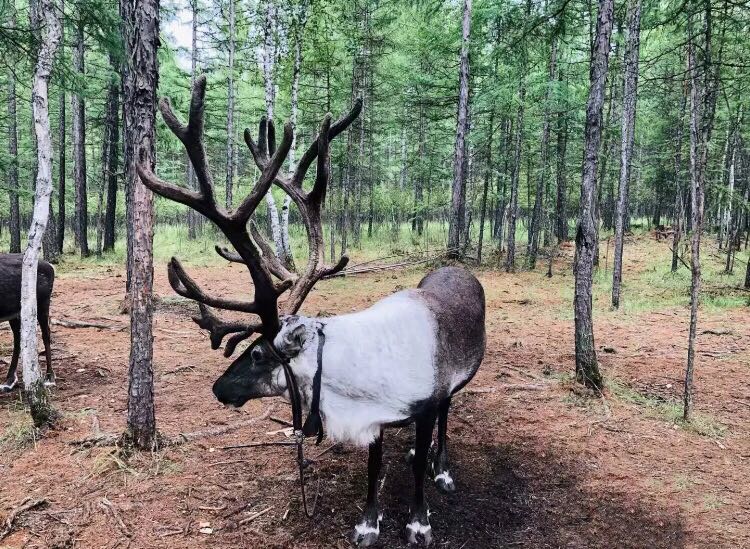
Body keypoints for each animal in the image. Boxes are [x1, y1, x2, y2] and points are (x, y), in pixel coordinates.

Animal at [0, 253, 55, 392]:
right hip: (16, 312)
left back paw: (49, 377)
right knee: (18, 337)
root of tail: (51, 267)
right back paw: (10, 380)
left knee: (46, 334)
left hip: (42, 303)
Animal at [137, 76, 486, 547]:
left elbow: (415, 467)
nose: (218, 389)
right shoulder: (375, 415)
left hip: (454, 383)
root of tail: (458, 268)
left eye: (258, 354)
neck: (354, 382)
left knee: (447, 414)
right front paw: (368, 523)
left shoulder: (424, 399)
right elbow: (374, 464)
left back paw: (441, 467)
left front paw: (418, 522)